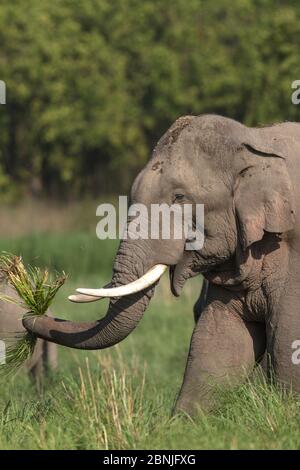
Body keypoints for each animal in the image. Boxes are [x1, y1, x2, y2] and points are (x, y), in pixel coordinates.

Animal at [22, 114, 300, 414]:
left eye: (179, 197)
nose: (31, 313)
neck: (256, 141)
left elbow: (286, 342)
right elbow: (217, 340)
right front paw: (186, 421)